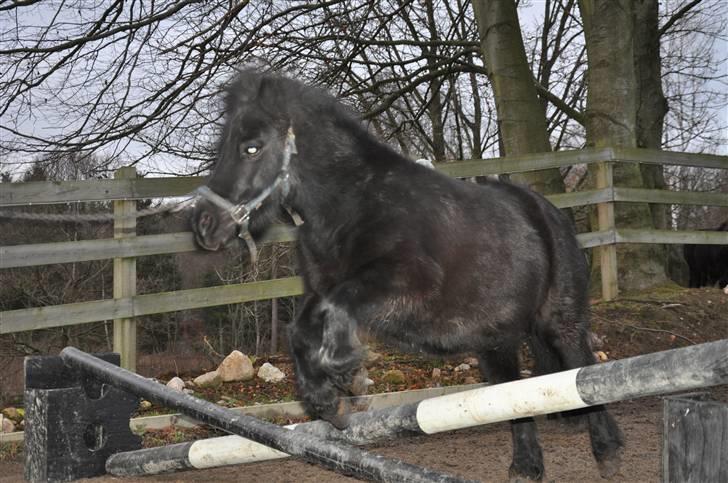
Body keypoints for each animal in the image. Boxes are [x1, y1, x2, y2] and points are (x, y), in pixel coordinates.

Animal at [191, 69, 624, 481]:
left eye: (251, 146)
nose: (205, 225)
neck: (354, 207)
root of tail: (546, 211)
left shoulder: (405, 287)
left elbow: (334, 308)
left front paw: (342, 374)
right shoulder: (323, 289)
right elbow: (302, 327)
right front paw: (329, 396)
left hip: (560, 320)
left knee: (580, 366)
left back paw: (608, 452)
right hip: (495, 342)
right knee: (513, 394)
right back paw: (527, 468)